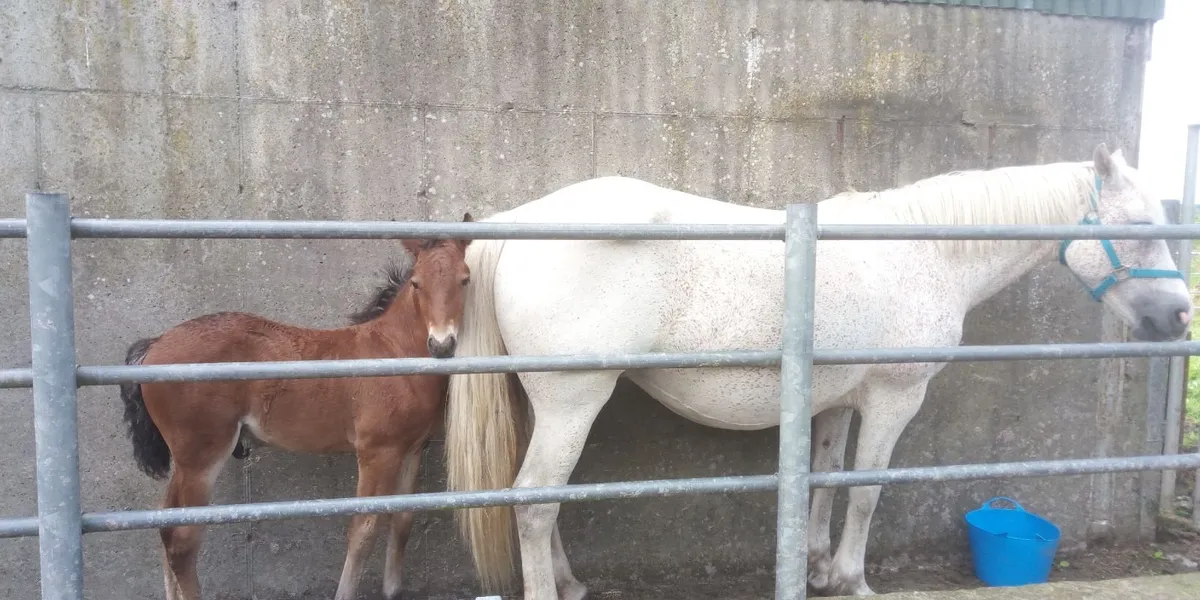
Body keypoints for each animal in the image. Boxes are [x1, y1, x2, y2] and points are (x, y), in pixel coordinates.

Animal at [118, 216, 474, 600]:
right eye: (417, 283)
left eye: (465, 279)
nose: (441, 345)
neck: (392, 351)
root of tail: (156, 344)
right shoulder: (377, 453)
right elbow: (364, 529)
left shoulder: (412, 449)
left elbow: (403, 520)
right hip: (201, 456)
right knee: (182, 540)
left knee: (166, 524)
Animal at [442, 144, 1192, 599]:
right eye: (1138, 227)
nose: (1180, 317)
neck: (926, 253)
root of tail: (514, 227)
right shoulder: (894, 399)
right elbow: (866, 493)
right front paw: (854, 578)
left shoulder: (834, 402)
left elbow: (825, 484)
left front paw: (816, 567)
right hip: (573, 402)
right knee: (534, 500)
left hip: (552, 405)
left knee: (541, 498)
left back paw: (569, 581)